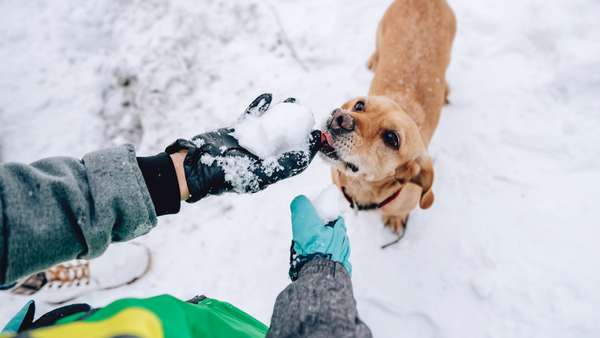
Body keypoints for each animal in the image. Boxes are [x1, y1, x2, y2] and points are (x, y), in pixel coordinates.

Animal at [324, 0, 454, 234]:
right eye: (359, 105)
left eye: (392, 138)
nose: (339, 118)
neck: (364, 189)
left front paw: (395, 218)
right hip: (380, 30)